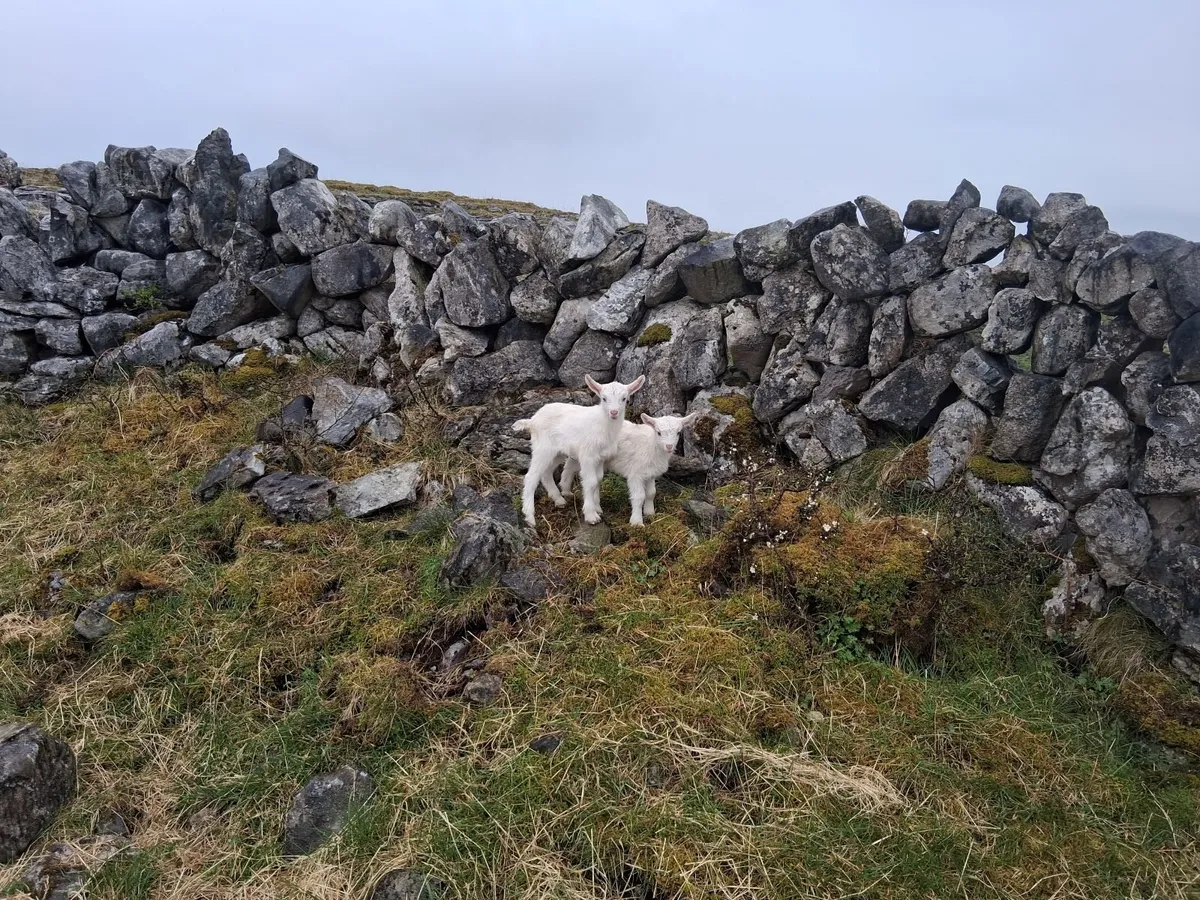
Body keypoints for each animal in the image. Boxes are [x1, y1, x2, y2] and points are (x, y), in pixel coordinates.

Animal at [511, 374, 646, 529]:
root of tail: (532, 421)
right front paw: (591, 515)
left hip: (557, 452)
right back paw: (529, 517)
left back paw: (559, 500)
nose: (613, 412)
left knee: (546, 473)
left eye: (624, 398)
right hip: (543, 448)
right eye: (603, 398)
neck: (603, 425)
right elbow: (591, 481)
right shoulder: (587, 455)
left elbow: (598, 479)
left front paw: (597, 508)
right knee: (531, 477)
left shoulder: (601, 458)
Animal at [558, 412, 697, 526]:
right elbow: (639, 496)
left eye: (678, 432)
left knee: (570, 465)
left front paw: (649, 512)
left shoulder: (651, 473)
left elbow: (651, 493)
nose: (669, 446)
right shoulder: (636, 473)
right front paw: (636, 522)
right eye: (658, 432)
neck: (651, 445)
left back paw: (566, 491)